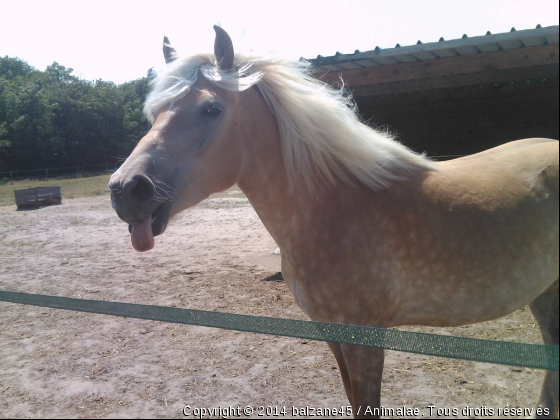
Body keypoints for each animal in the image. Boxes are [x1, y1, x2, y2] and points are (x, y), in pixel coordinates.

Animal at [108, 27, 556, 420]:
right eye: (155, 112)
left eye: (212, 109)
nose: (126, 190)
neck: (335, 206)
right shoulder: (333, 333)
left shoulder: (365, 338)